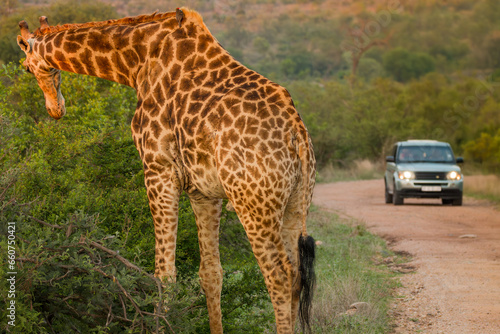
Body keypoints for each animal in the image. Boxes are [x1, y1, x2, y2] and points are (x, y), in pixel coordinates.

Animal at [18, 8, 316, 334]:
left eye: (27, 69)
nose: (55, 109)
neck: (137, 61)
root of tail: (296, 133)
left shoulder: (158, 169)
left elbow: (164, 275)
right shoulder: (204, 192)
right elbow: (211, 273)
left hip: (253, 203)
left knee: (279, 275)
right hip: (295, 202)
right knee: (297, 275)